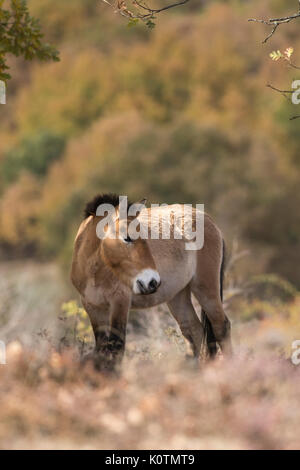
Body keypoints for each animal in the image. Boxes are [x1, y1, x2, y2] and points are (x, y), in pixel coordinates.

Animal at [71, 193, 232, 370]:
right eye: (127, 238)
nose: (152, 282)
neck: (94, 271)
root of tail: (211, 222)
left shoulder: (120, 303)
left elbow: (116, 347)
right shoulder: (93, 307)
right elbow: (102, 348)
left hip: (205, 288)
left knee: (221, 326)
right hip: (177, 296)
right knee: (193, 330)